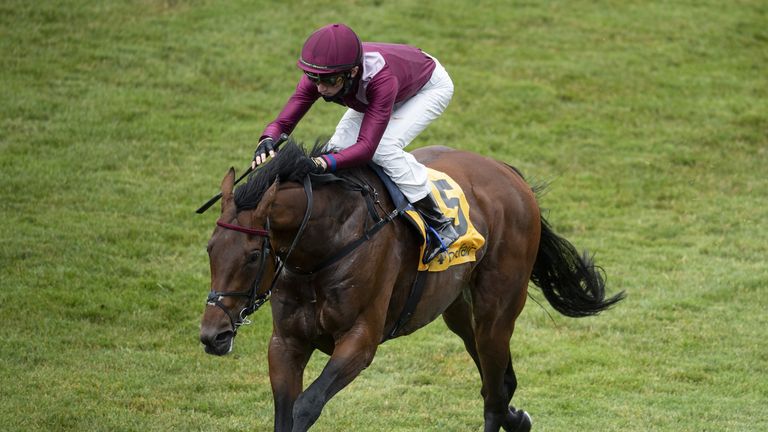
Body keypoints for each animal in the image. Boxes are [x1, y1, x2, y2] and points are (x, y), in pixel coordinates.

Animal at [198, 140, 624, 430]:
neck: (325, 246)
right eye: (210, 248)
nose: (212, 335)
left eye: (253, 255)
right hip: (458, 311)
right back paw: (517, 417)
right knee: (499, 380)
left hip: (497, 310)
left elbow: (306, 405)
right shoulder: (286, 342)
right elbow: (284, 413)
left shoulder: (359, 341)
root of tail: (507, 173)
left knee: (493, 393)